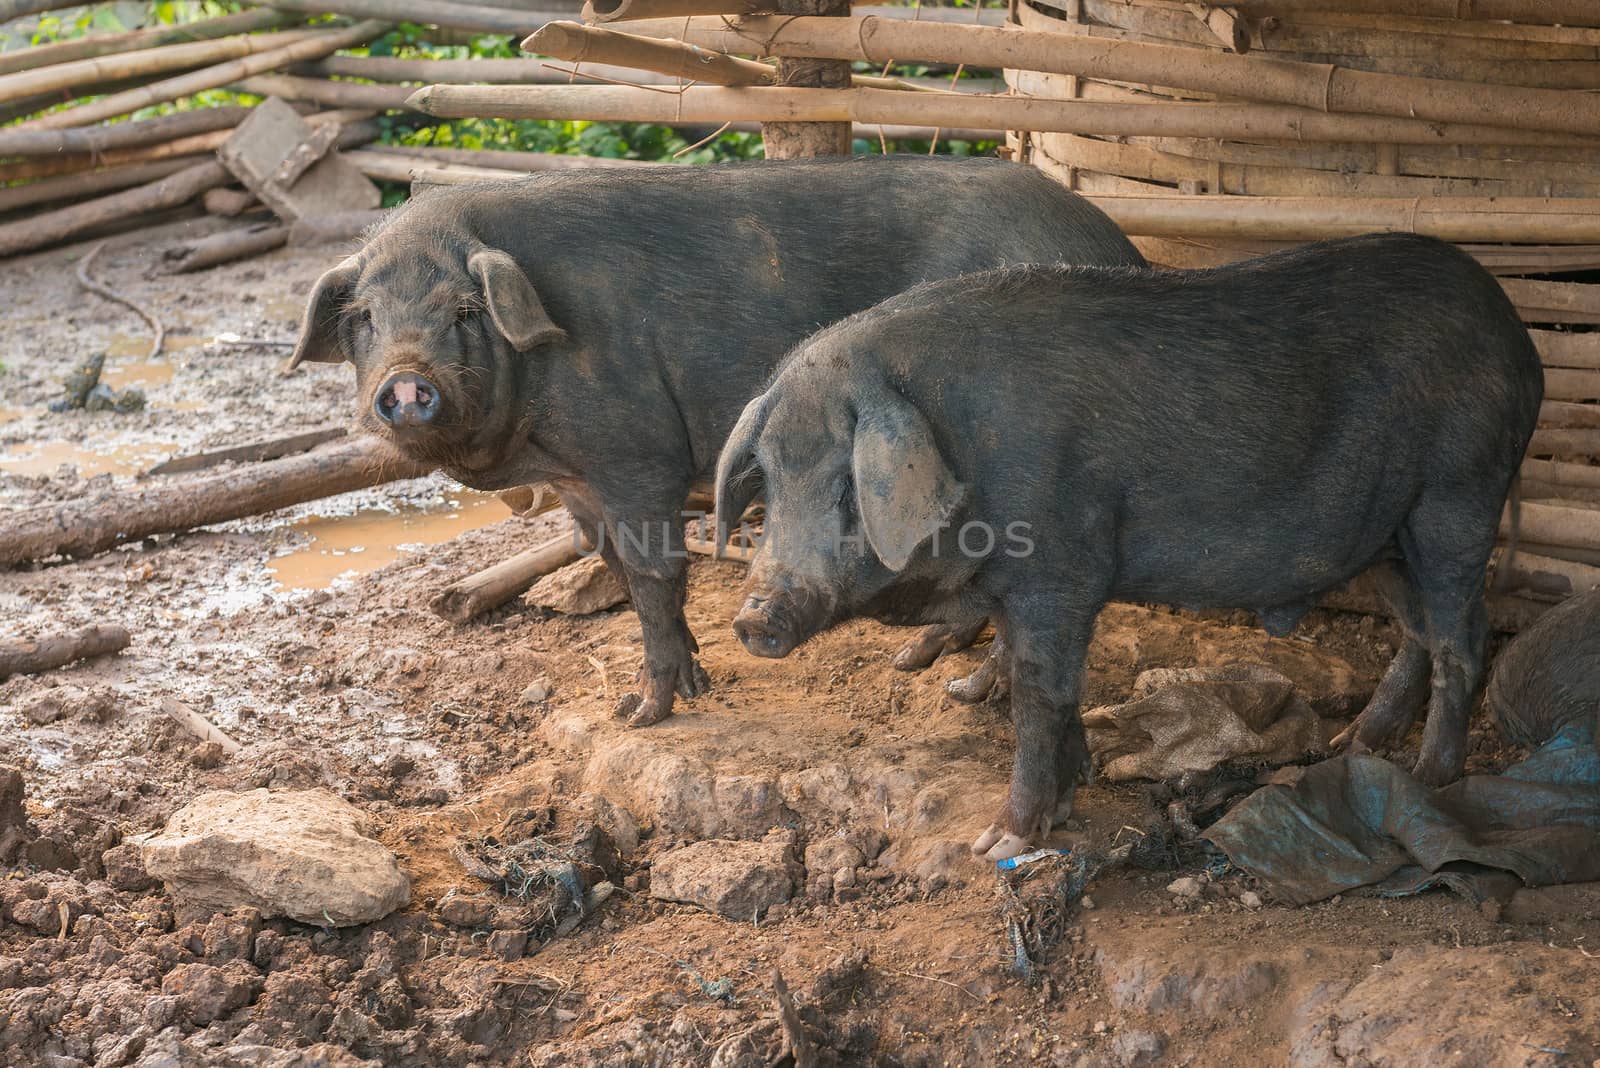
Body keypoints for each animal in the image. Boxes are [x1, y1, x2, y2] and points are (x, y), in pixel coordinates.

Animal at [284, 156, 1139, 725]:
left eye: (463, 311)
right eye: (364, 317)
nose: (404, 382)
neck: (540, 445)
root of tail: (1119, 245)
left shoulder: (636, 456)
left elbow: (655, 574)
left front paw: (642, 713)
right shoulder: (577, 483)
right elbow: (615, 568)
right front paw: (683, 682)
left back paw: (968, 691)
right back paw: (920, 663)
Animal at [720, 231, 1542, 856]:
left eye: (847, 489)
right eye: (770, 481)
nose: (754, 617)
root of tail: (1518, 337)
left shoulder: (1058, 570)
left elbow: (1040, 697)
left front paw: (999, 843)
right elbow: (1046, 688)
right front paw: (1065, 799)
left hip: (1460, 491)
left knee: (1462, 635)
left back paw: (1431, 780)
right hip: (1389, 532)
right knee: (1418, 630)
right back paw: (1356, 746)